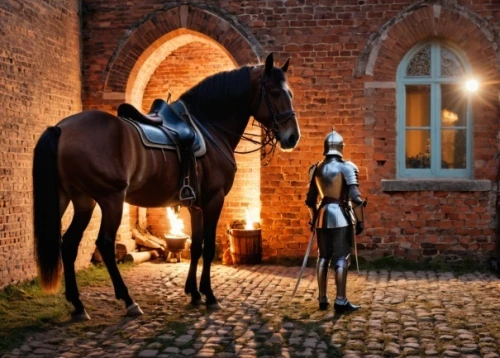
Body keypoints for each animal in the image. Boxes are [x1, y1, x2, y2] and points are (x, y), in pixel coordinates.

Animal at [34, 53, 300, 318]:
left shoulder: (196, 206)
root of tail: (61, 128)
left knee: (69, 244)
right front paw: (210, 296)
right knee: (105, 244)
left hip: (77, 200)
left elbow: (196, 247)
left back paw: (78, 305)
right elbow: (208, 248)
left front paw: (194, 293)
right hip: (111, 200)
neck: (209, 127)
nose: (292, 137)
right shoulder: (214, 200)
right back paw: (128, 301)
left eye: (291, 93)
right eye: (275, 92)